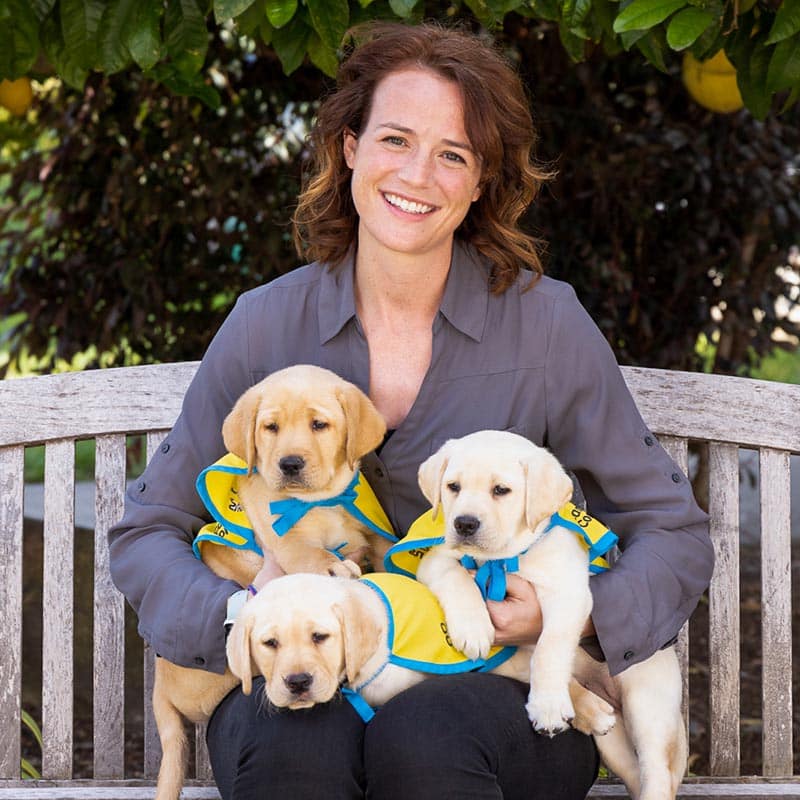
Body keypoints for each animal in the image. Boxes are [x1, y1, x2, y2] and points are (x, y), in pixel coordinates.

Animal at [416, 432, 684, 800]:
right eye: (452, 486)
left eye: (501, 490)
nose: (464, 523)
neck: (503, 560)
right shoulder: (435, 561)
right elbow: (455, 576)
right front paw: (472, 627)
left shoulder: (569, 593)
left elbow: (549, 649)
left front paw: (548, 705)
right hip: (614, 745)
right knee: (633, 769)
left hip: (647, 701)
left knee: (656, 772)